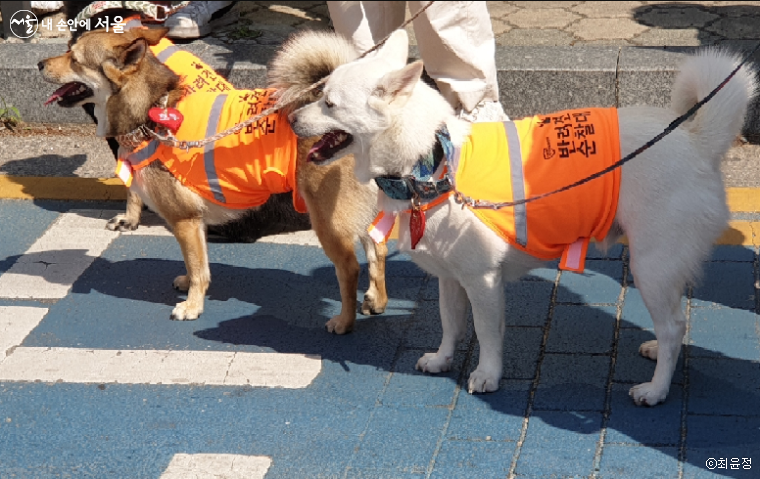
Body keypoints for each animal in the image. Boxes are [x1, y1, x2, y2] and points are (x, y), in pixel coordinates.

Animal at [38, 26, 388, 334]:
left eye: (75, 58)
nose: (40, 64)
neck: (152, 110)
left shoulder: (184, 220)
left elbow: (197, 269)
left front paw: (192, 306)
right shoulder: (196, 221)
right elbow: (198, 263)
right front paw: (189, 285)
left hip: (328, 220)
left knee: (350, 268)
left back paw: (344, 321)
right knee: (377, 247)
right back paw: (377, 299)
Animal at [288, 29, 756, 404]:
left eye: (328, 103)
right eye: (321, 91)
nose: (289, 116)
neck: (430, 161)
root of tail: (697, 140)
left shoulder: (483, 282)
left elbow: (487, 334)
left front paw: (487, 375)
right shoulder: (449, 280)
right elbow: (450, 324)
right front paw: (442, 359)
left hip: (650, 267)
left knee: (674, 325)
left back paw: (657, 389)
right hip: (662, 268)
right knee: (675, 322)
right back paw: (659, 352)